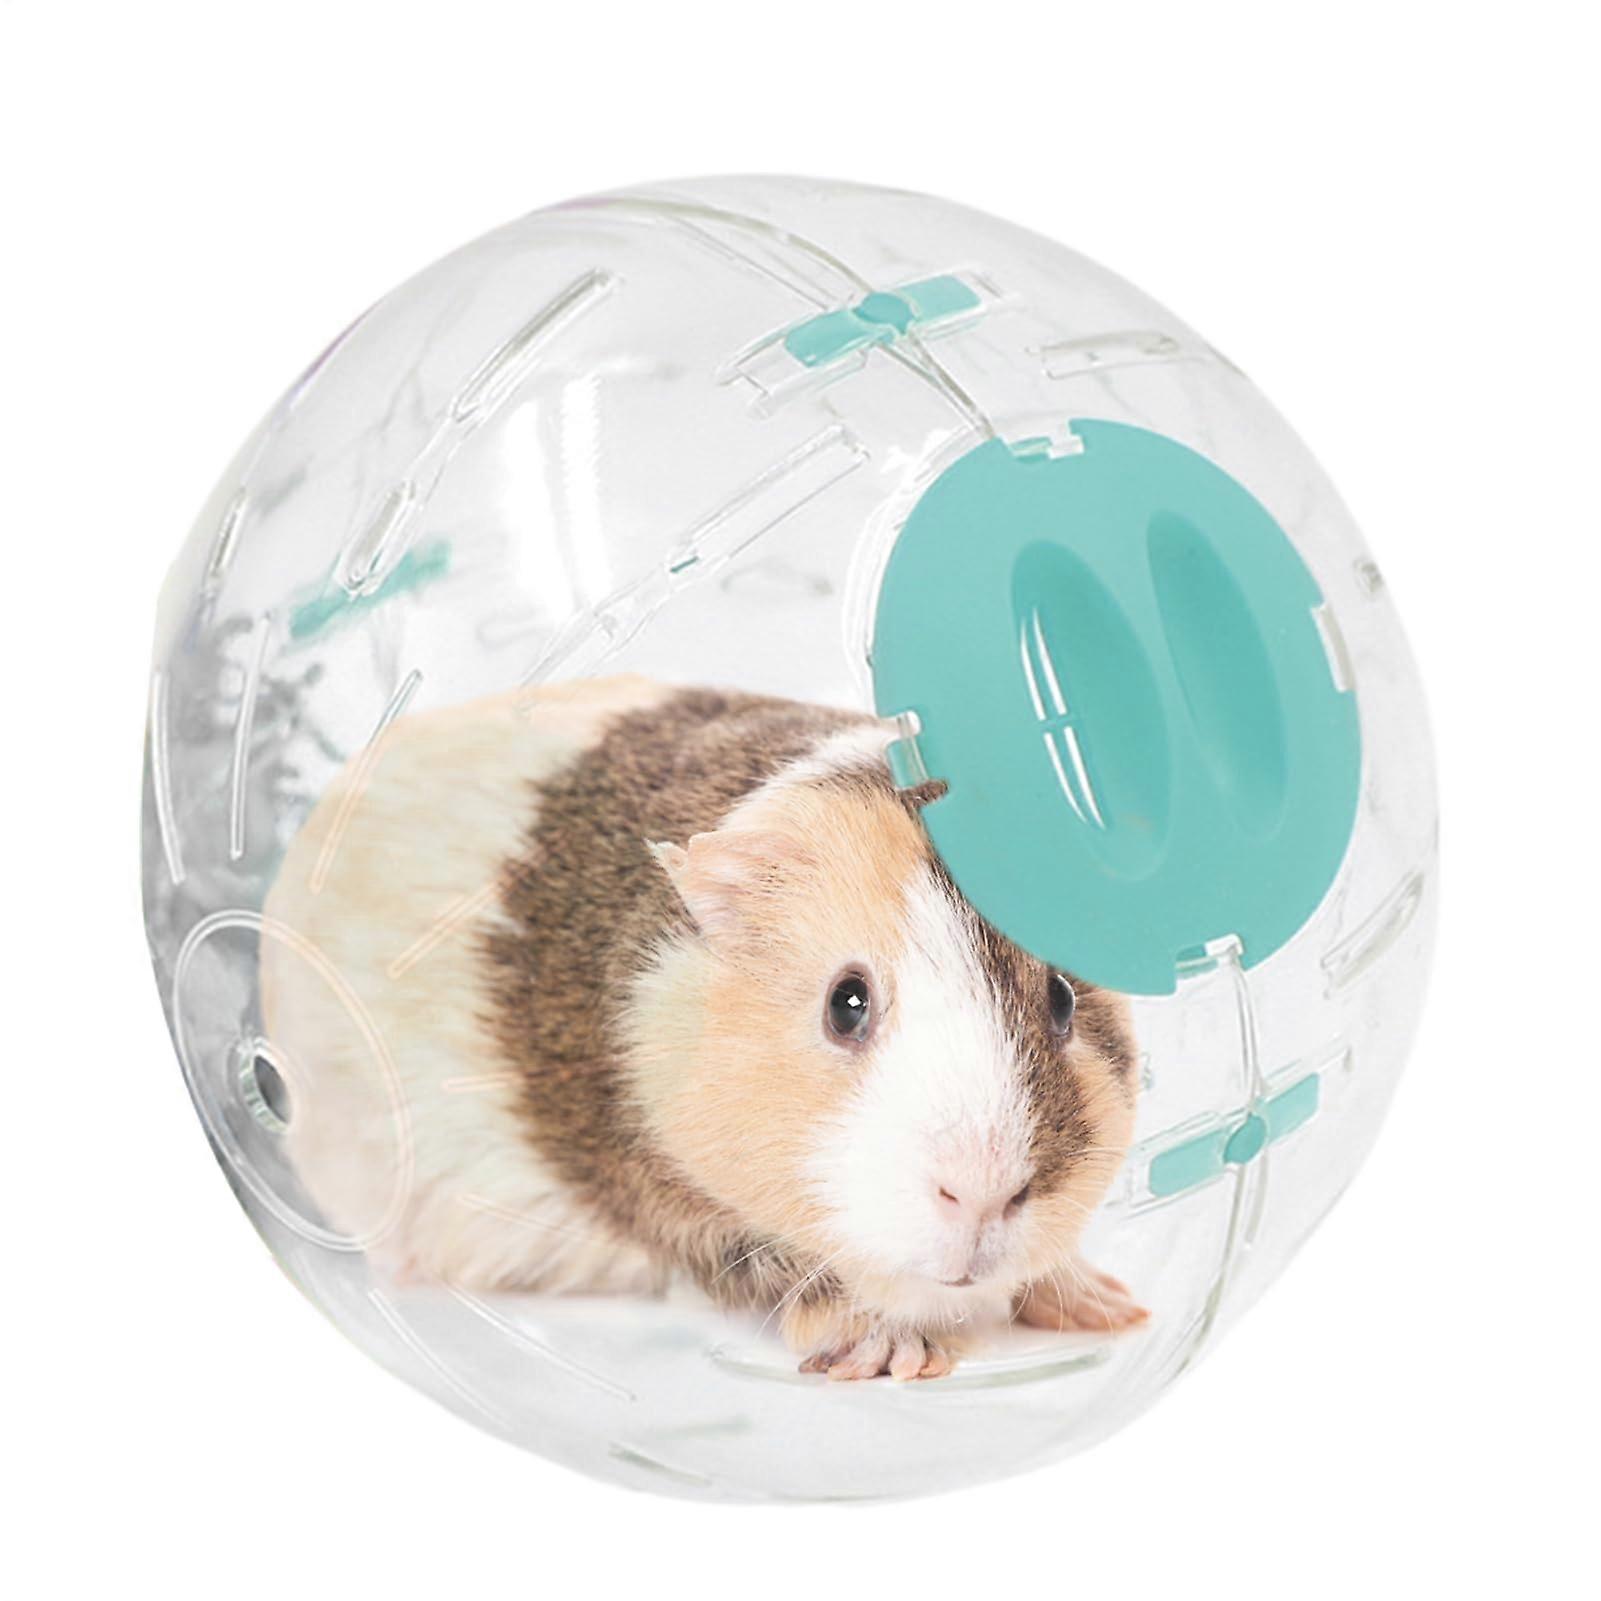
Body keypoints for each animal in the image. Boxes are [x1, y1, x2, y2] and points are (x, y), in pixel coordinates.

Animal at [262, 675, 1146, 1379]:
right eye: (845, 1003)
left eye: (1061, 998)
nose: (981, 1193)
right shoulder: (673, 1208)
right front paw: (893, 1354)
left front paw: (1110, 1306)